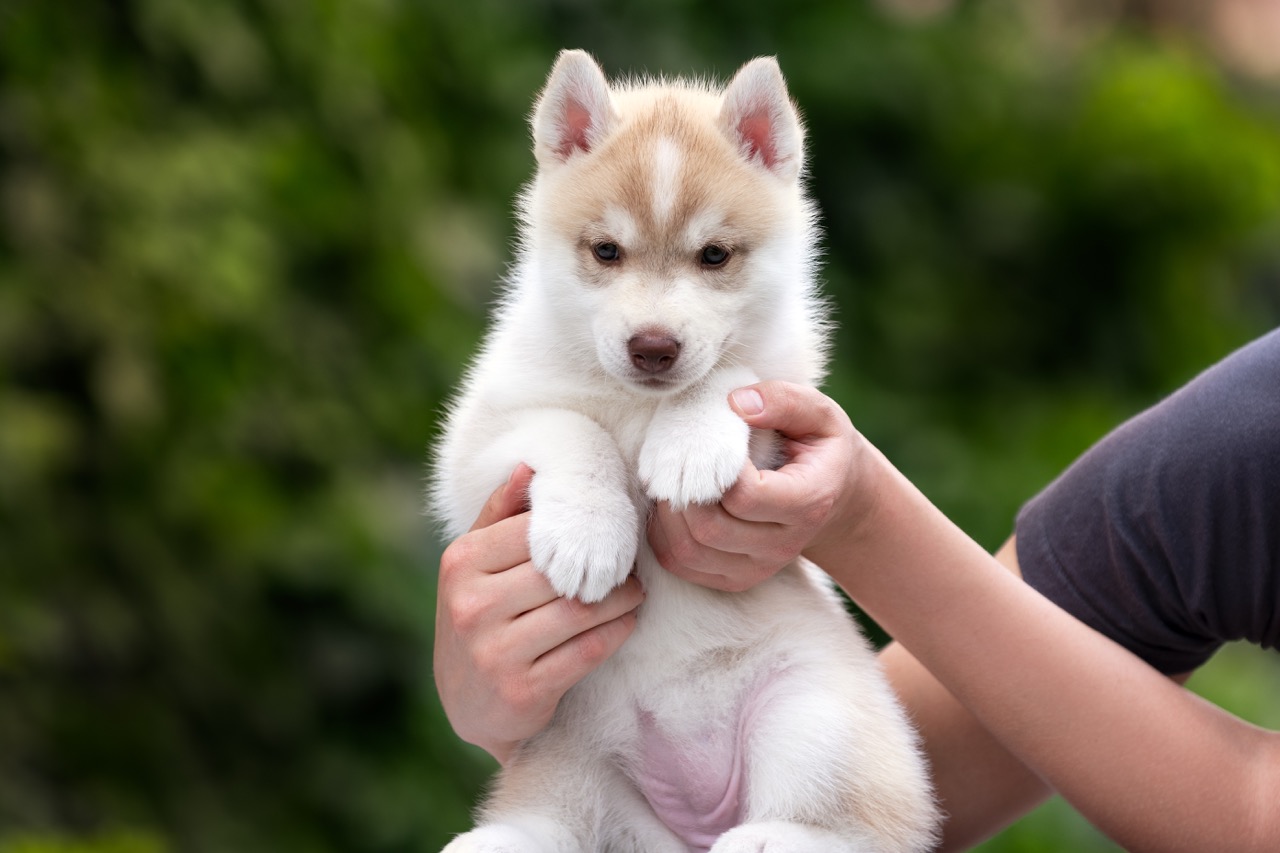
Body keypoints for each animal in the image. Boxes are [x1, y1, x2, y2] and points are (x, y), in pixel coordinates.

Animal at [432, 49, 942, 845]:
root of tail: (697, 821)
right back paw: (499, 840)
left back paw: (770, 837)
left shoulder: (783, 395)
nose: (653, 347)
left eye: (714, 255)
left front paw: (689, 443)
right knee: (560, 821)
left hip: (814, 715)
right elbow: (572, 429)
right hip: (564, 748)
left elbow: (733, 372)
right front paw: (590, 533)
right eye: (606, 251)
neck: (641, 404)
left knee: (863, 828)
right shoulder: (477, 444)